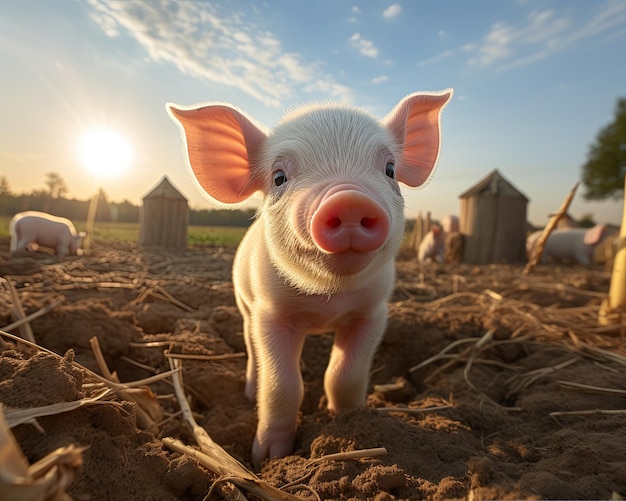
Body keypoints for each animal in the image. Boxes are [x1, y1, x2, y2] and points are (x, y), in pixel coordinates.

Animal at [168, 89, 450, 464]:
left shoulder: (372, 313)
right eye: (279, 177)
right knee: (251, 349)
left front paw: (349, 422)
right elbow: (282, 385)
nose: (349, 199)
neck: (326, 299)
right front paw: (269, 456)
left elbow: (346, 375)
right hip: (244, 307)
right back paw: (250, 391)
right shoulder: (271, 313)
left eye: (390, 169)